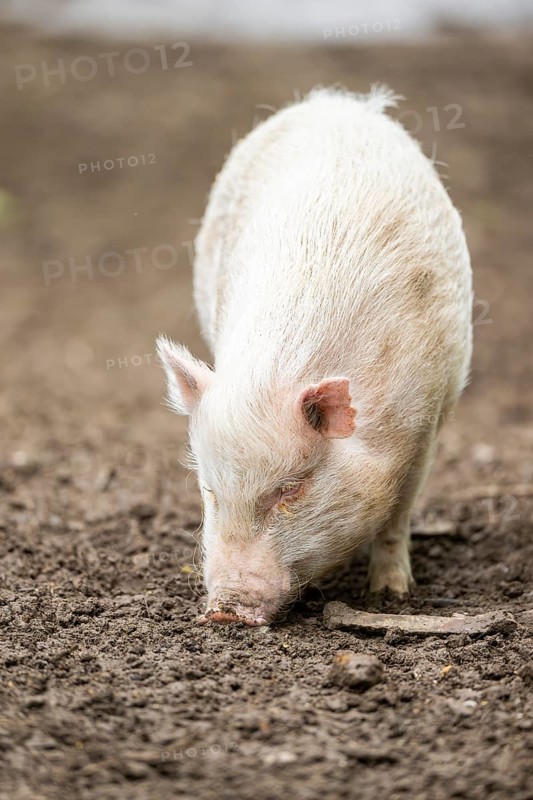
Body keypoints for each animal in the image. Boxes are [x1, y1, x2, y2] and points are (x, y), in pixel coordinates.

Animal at [157, 86, 472, 626]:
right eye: (211, 490)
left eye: (291, 488)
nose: (224, 613)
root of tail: (339, 102)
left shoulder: (424, 425)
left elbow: (398, 517)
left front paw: (390, 595)